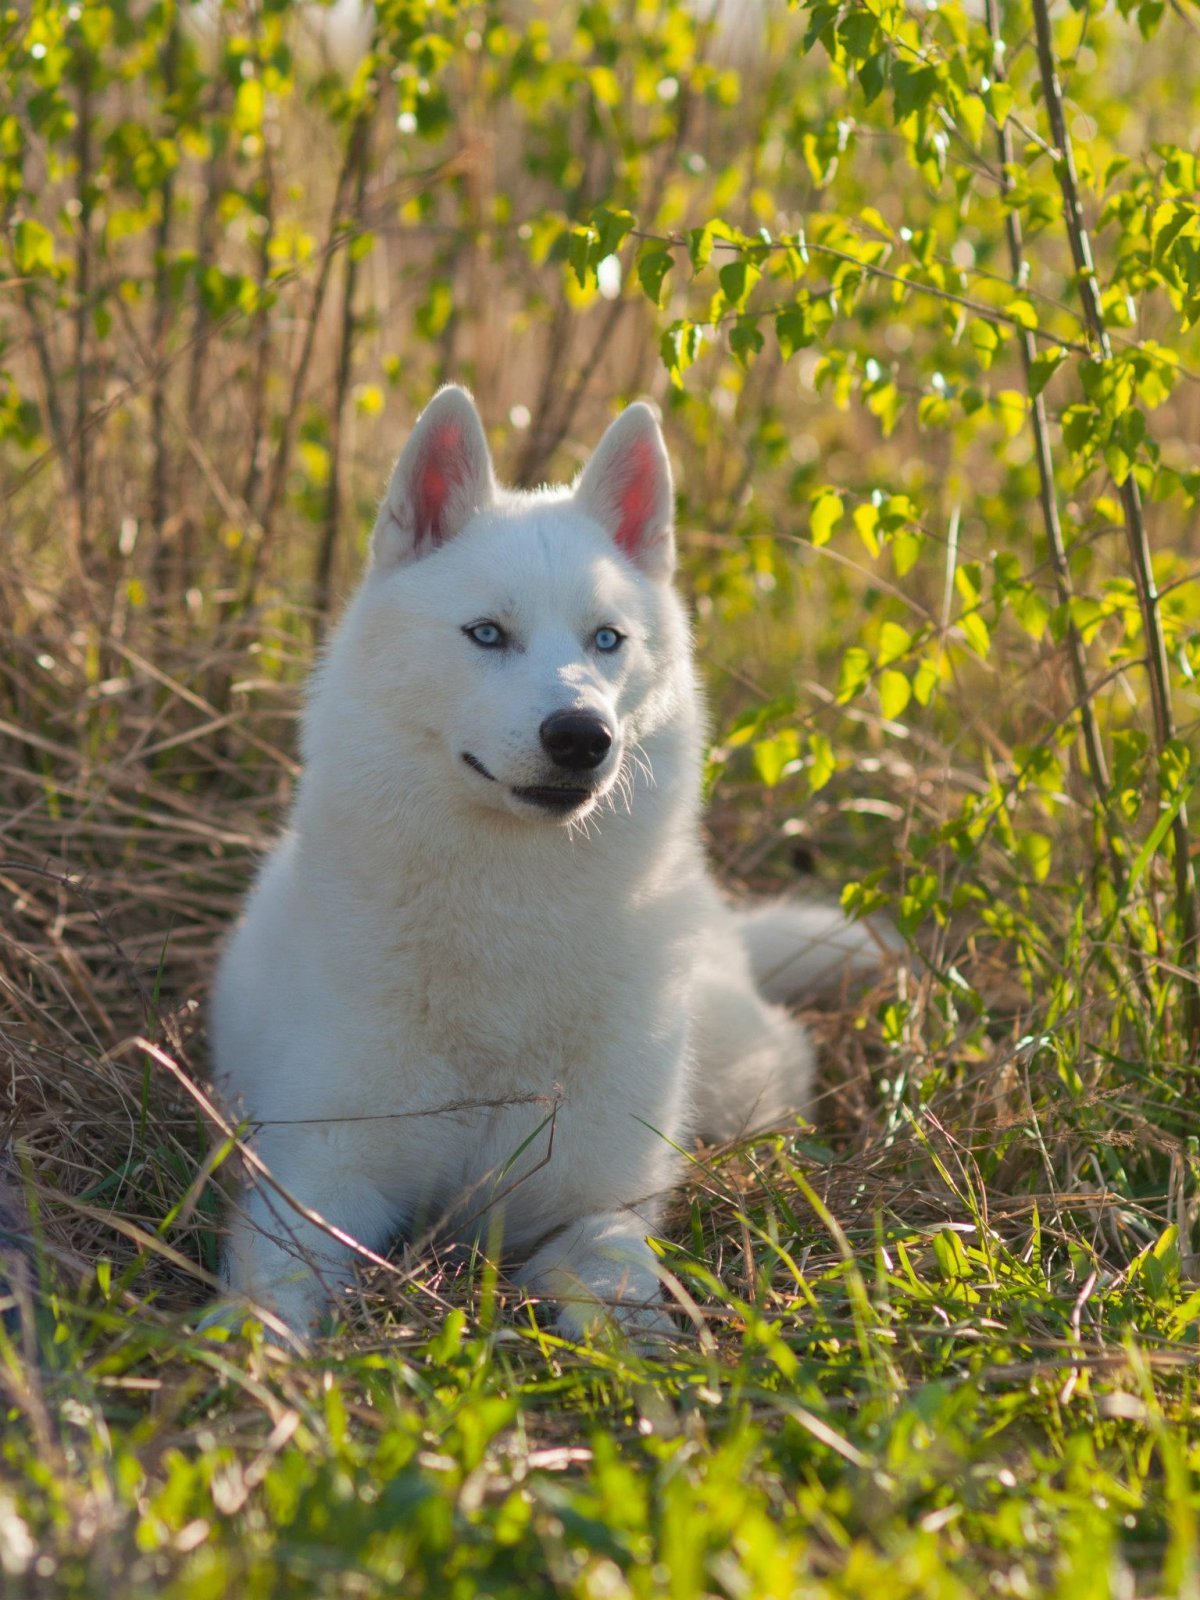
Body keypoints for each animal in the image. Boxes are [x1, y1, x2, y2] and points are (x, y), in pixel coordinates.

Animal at [211, 387, 896, 1337]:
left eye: (606, 640)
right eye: (487, 633)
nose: (580, 736)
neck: (512, 914)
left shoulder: (594, 1206)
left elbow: (623, 1297)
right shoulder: (317, 1180)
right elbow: (270, 1295)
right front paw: (239, 1356)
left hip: (742, 1076)